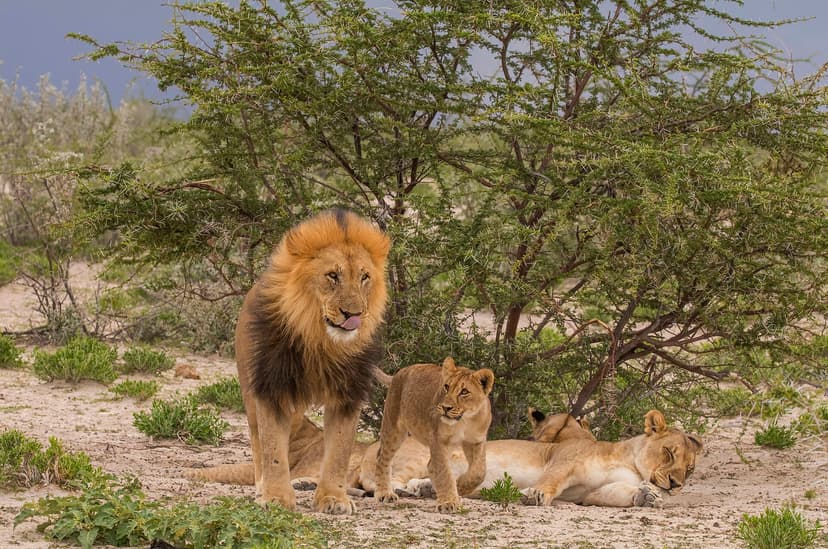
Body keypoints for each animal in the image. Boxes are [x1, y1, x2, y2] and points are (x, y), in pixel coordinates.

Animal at [235, 208, 389, 514]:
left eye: (365, 277)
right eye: (332, 275)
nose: (353, 314)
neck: (321, 341)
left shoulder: (347, 395)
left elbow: (339, 452)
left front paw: (334, 499)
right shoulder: (272, 388)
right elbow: (273, 449)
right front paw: (276, 497)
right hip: (248, 388)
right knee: (258, 442)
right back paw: (261, 487)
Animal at [373, 357, 495, 512]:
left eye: (464, 391)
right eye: (446, 387)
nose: (446, 408)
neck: (464, 420)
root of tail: (399, 373)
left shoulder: (476, 440)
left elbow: (479, 471)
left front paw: (460, 487)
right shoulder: (438, 440)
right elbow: (444, 472)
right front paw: (448, 502)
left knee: (430, 465)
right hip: (394, 428)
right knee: (382, 458)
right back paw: (385, 494)